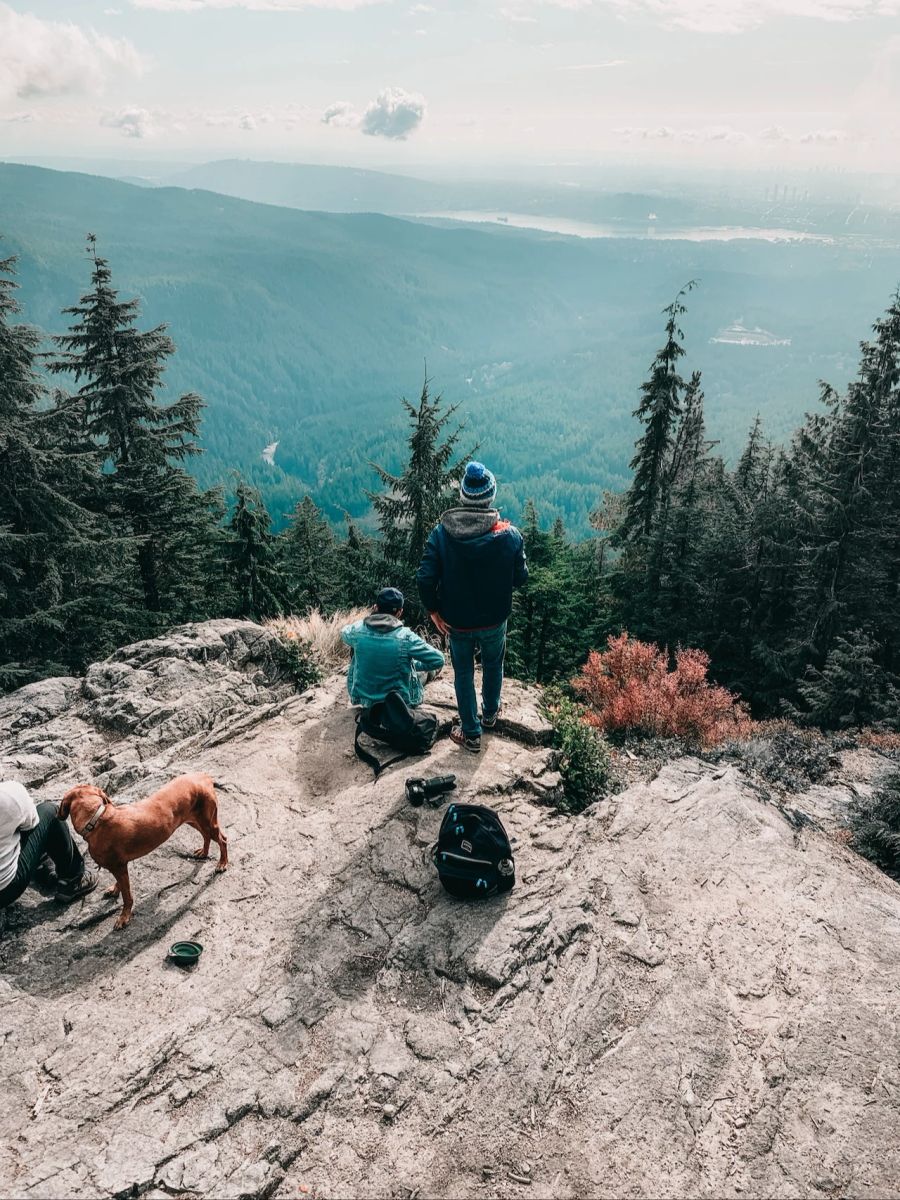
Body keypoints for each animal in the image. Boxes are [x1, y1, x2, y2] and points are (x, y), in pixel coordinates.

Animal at [60, 772, 229, 931]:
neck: (96, 820)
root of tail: (203, 776)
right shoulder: (120, 867)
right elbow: (121, 885)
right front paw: (115, 890)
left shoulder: (119, 866)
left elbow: (127, 896)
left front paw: (124, 917)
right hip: (193, 820)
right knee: (206, 836)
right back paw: (204, 852)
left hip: (207, 821)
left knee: (223, 840)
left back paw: (222, 863)